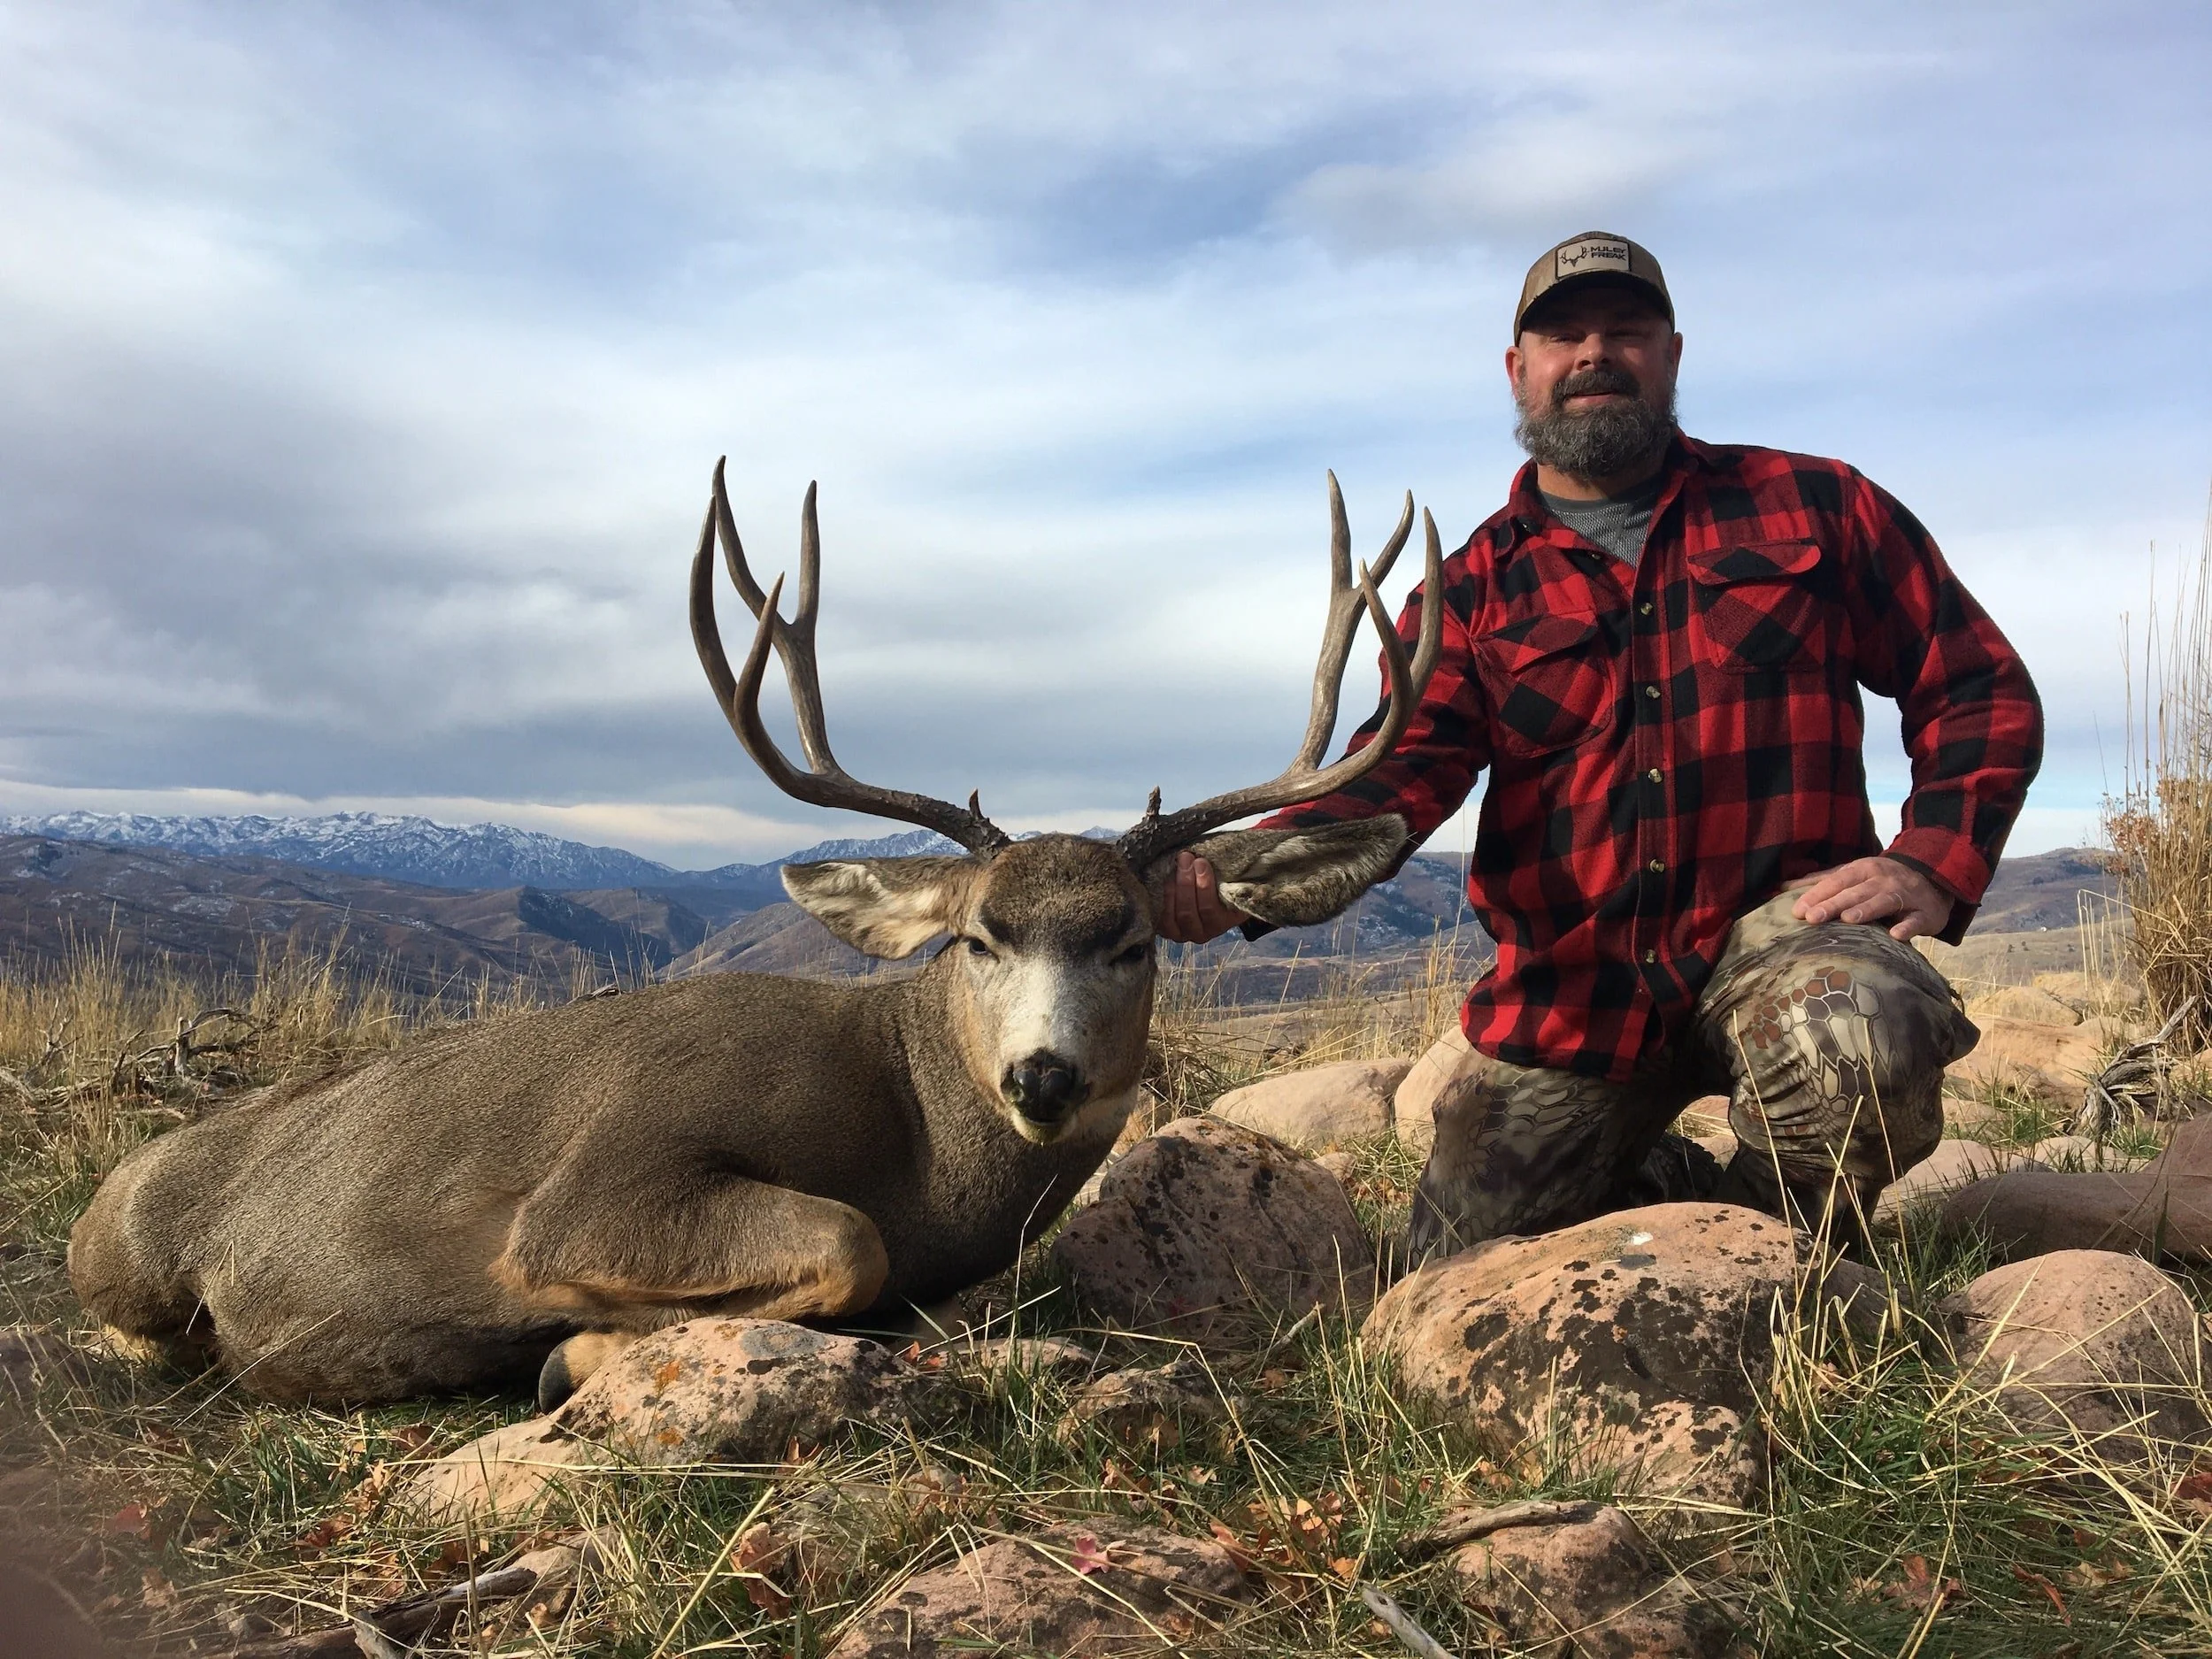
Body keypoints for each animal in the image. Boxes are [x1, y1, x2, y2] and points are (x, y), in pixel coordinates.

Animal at [68, 462, 1443, 1407]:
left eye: (1135, 942)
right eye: (977, 937)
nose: (1042, 1076)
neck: (912, 1131)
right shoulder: (599, 1184)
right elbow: (841, 1237)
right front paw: (563, 1344)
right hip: (120, 1252)